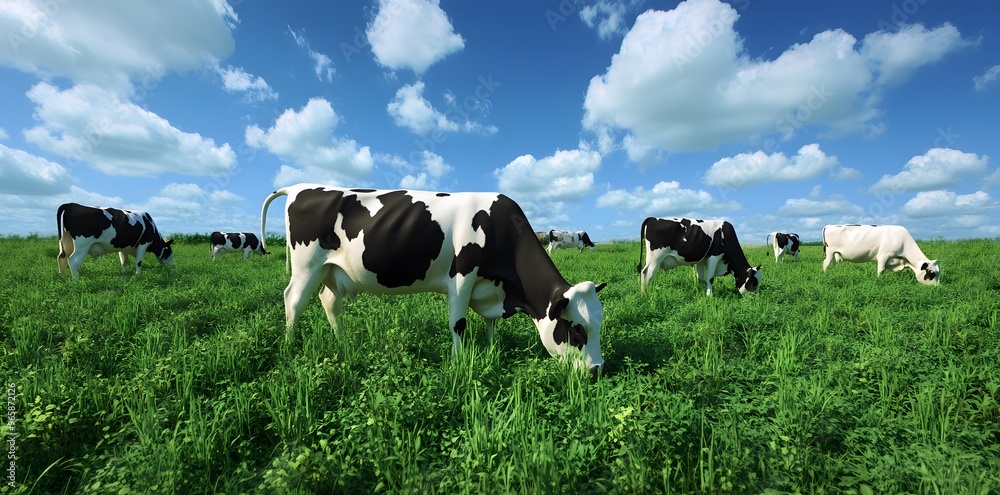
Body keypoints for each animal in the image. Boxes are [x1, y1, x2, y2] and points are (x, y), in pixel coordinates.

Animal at [260, 184, 607, 372]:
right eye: (577, 330)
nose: (597, 371)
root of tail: (300, 188)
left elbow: (491, 324)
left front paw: (491, 349)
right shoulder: (462, 277)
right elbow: (458, 323)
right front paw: (459, 360)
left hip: (333, 270)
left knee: (328, 301)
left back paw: (342, 342)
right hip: (307, 265)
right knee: (294, 300)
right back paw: (290, 347)